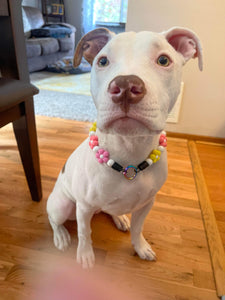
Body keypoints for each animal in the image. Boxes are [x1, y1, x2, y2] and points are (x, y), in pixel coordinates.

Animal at [46, 27, 203, 268]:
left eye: (163, 60)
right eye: (102, 61)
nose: (126, 86)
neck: (129, 151)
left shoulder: (147, 203)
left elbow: (138, 229)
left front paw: (140, 247)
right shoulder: (83, 207)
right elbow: (84, 233)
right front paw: (85, 255)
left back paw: (119, 217)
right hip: (63, 205)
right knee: (53, 219)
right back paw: (61, 236)